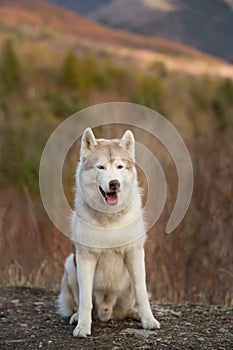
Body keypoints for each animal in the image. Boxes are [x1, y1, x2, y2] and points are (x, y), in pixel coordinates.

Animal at [57, 128, 160, 336]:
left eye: (119, 167)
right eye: (101, 167)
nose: (114, 183)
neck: (110, 217)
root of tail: (108, 311)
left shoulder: (134, 254)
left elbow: (142, 293)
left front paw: (148, 320)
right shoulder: (85, 257)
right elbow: (85, 300)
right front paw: (83, 327)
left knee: (131, 303)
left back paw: (135, 313)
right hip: (70, 264)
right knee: (80, 304)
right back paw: (76, 317)